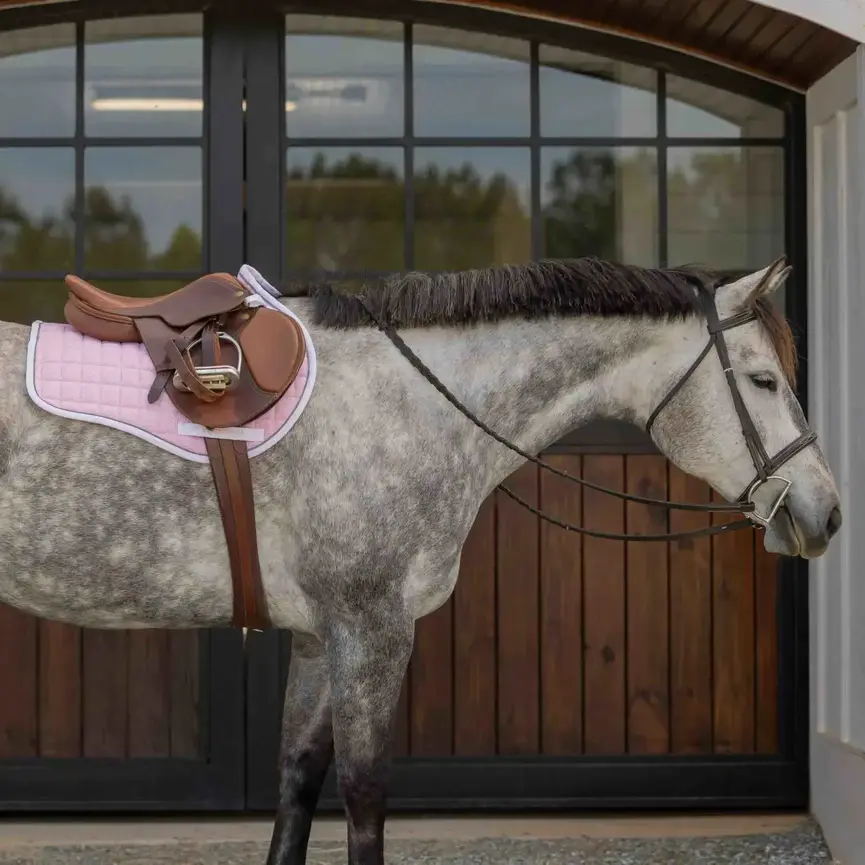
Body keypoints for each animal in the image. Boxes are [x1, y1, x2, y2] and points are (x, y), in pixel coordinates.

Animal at [0, 255, 840, 865]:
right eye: (763, 379)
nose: (824, 511)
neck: (404, 401)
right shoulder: (372, 631)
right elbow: (365, 794)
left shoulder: (320, 638)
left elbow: (298, 779)